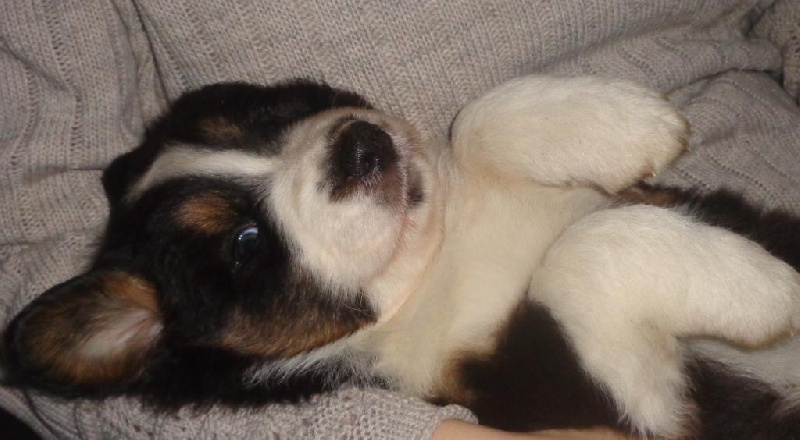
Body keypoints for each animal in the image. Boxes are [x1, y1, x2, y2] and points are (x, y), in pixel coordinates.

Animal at [4, 76, 800, 439]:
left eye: (269, 111)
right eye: (244, 243)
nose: (363, 146)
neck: (430, 266)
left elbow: (478, 120)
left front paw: (626, 122)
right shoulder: (628, 398)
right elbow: (581, 254)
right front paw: (766, 291)